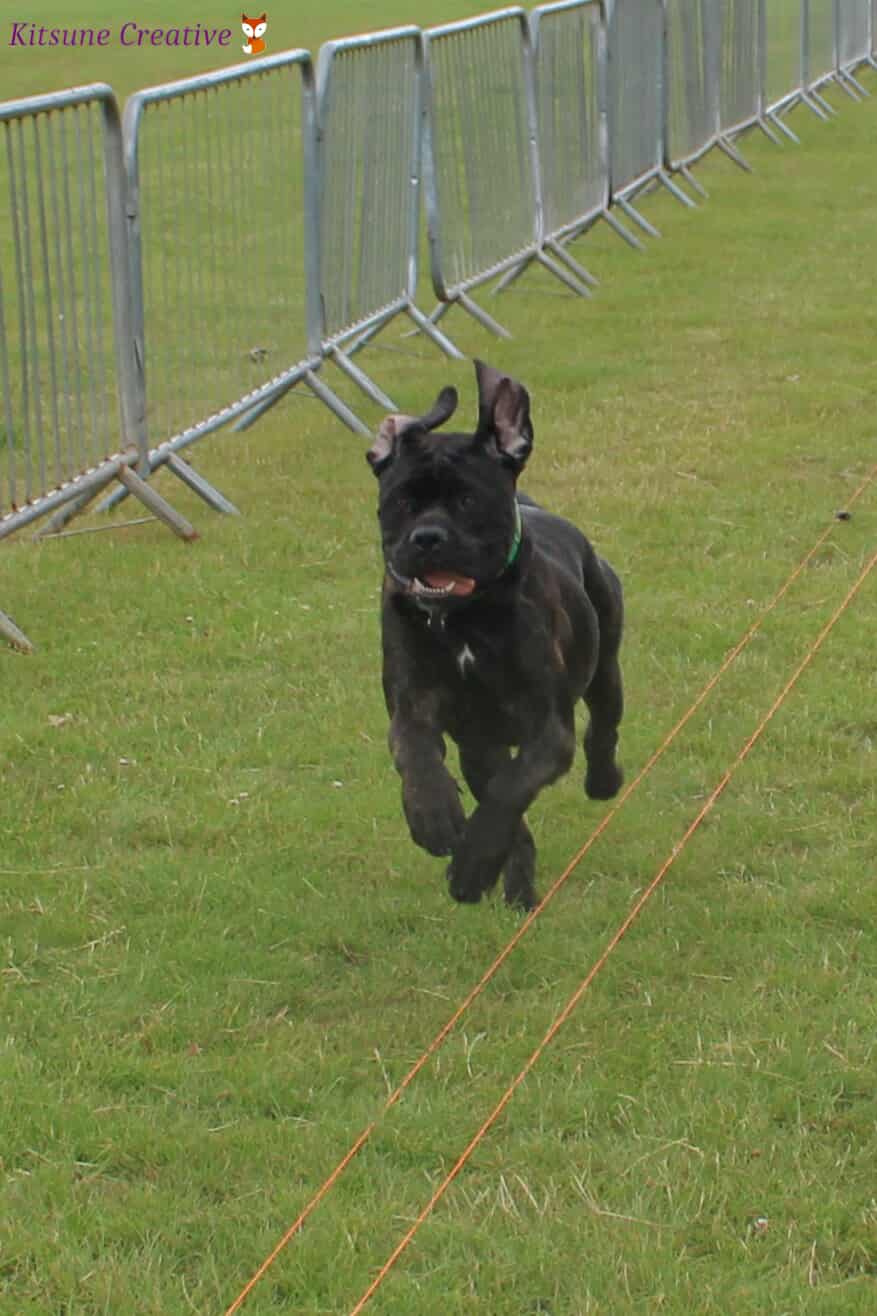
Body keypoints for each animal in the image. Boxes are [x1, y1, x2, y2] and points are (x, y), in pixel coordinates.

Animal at [367, 361, 624, 910]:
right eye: (401, 502)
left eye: (469, 499)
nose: (427, 538)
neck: (462, 618)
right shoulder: (415, 704)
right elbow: (416, 755)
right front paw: (434, 819)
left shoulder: (547, 730)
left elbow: (510, 793)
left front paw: (472, 863)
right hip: (479, 744)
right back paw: (514, 885)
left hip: (606, 666)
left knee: (603, 728)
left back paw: (603, 782)